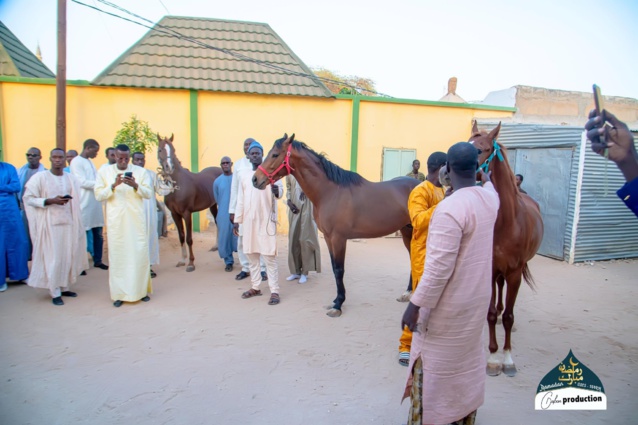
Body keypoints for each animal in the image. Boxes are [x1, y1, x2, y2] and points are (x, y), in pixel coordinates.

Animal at [156, 134, 224, 270]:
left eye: (173, 150)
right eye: (160, 150)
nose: (169, 167)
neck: (177, 185)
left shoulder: (187, 213)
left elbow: (189, 238)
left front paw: (191, 263)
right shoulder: (175, 214)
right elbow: (181, 236)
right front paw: (182, 260)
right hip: (213, 205)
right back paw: (216, 246)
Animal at [252, 134, 422, 316]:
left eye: (275, 154)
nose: (255, 179)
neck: (330, 192)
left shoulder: (338, 238)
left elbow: (340, 270)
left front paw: (338, 305)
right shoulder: (328, 238)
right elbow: (335, 268)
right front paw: (336, 300)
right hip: (406, 231)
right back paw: (408, 292)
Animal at [470, 121, 544, 376]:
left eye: (480, 149)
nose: (445, 171)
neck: (505, 222)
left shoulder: (515, 272)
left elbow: (510, 317)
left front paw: (508, 360)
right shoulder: (491, 268)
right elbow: (492, 314)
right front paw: (493, 358)